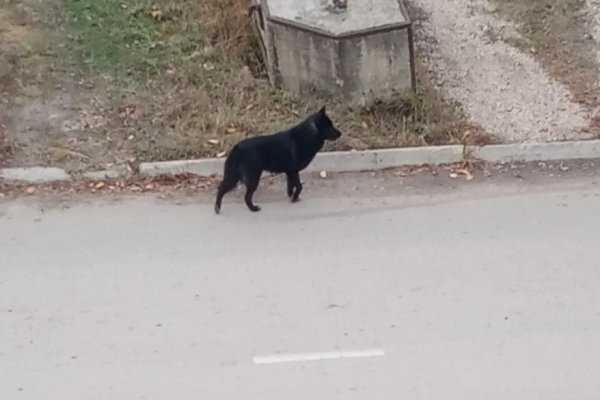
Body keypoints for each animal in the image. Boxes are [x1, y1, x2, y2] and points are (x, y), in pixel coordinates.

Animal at [214, 105, 342, 212]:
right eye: (329, 126)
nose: (341, 133)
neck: (309, 134)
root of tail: (236, 148)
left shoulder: (291, 172)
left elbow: (291, 186)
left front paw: (292, 197)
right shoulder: (293, 172)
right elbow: (299, 186)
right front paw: (295, 197)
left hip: (234, 176)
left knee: (221, 188)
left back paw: (217, 207)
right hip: (252, 179)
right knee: (246, 196)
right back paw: (253, 208)